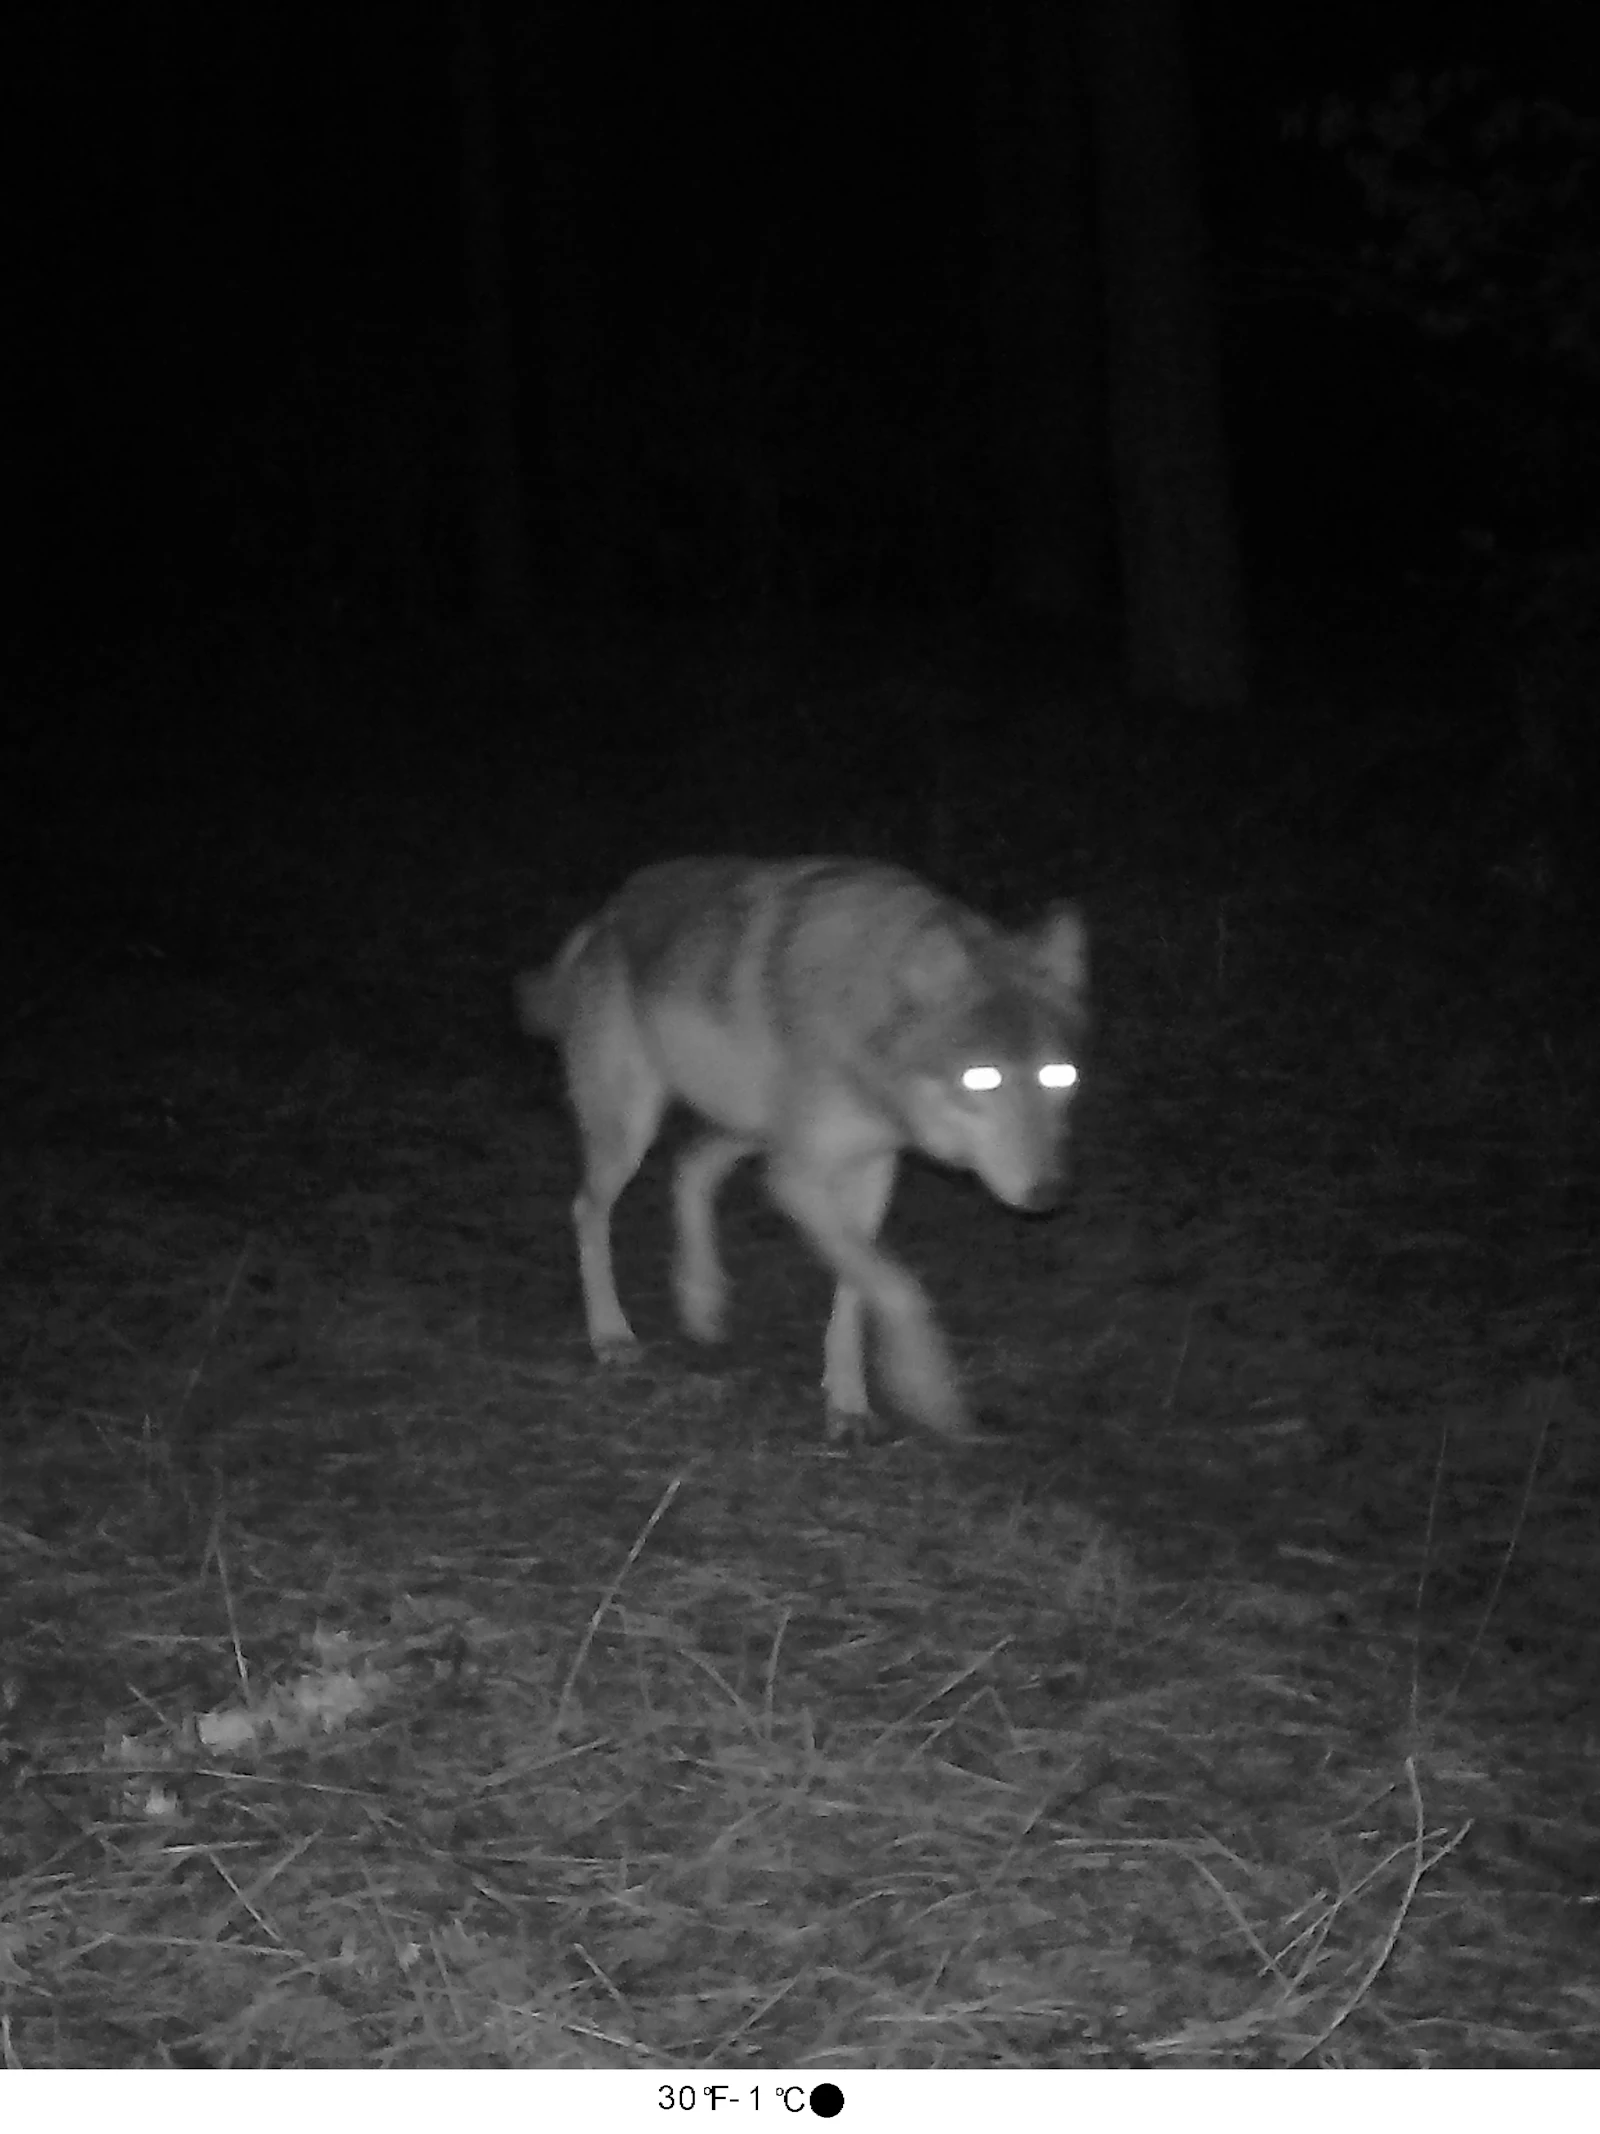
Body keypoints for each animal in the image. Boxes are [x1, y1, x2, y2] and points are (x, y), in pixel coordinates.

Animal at [515, 857, 1088, 1444]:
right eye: (981, 1078)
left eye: (1060, 1075)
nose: (1051, 1192)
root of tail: (607, 913)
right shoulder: (798, 1179)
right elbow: (900, 1288)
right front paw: (927, 1388)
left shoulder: (872, 1169)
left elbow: (859, 1292)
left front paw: (848, 1402)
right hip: (633, 1134)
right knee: (589, 1209)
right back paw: (611, 1333)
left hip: (750, 1128)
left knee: (691, 1163)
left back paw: (701, 1301)